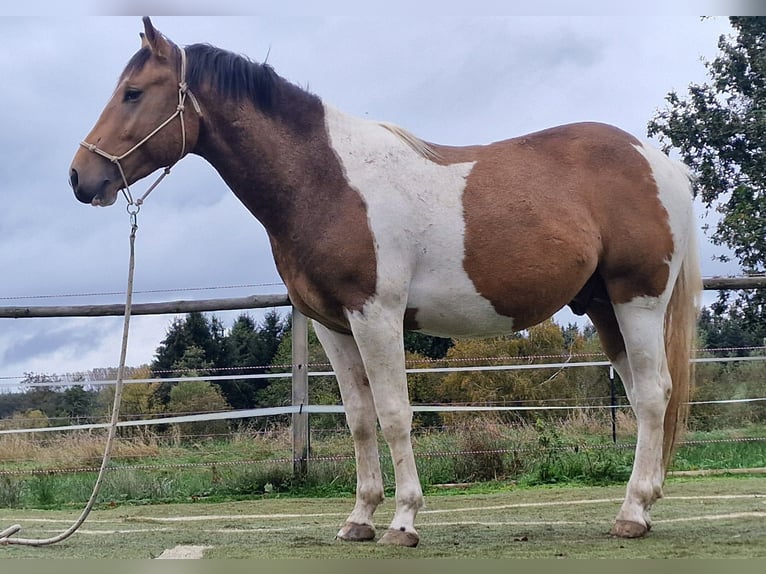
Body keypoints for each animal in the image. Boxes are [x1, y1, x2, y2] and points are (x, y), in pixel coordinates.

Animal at [69, 17, 701, 547]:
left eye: (133, 92)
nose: (80, 177)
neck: (326, 181)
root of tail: (661, 164)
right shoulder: (332, 326)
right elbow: (360, 419)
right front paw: (360, 519)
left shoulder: (376, 314)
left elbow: (396, 413)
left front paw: (403, 521)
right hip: (603, 306)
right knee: (644, 395)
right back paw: (643, 506)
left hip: (637, 299)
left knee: (653, 396)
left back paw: (631, 514)